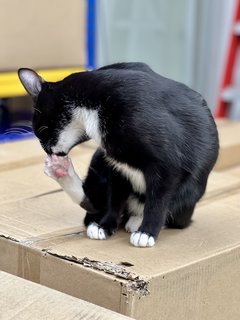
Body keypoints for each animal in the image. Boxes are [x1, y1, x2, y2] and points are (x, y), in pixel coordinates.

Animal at [17, 62, 218, 248]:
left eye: (39, 130)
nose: (46, 150)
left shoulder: (167, 165)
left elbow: (158, 201)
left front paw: (147, 232)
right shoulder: (116, 165)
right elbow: (114, 199)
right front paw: (105, 226)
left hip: (189, 195)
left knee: (175, 214)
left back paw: (138, 221)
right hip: (99, 158)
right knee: (95, 202)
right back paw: (61, 172)